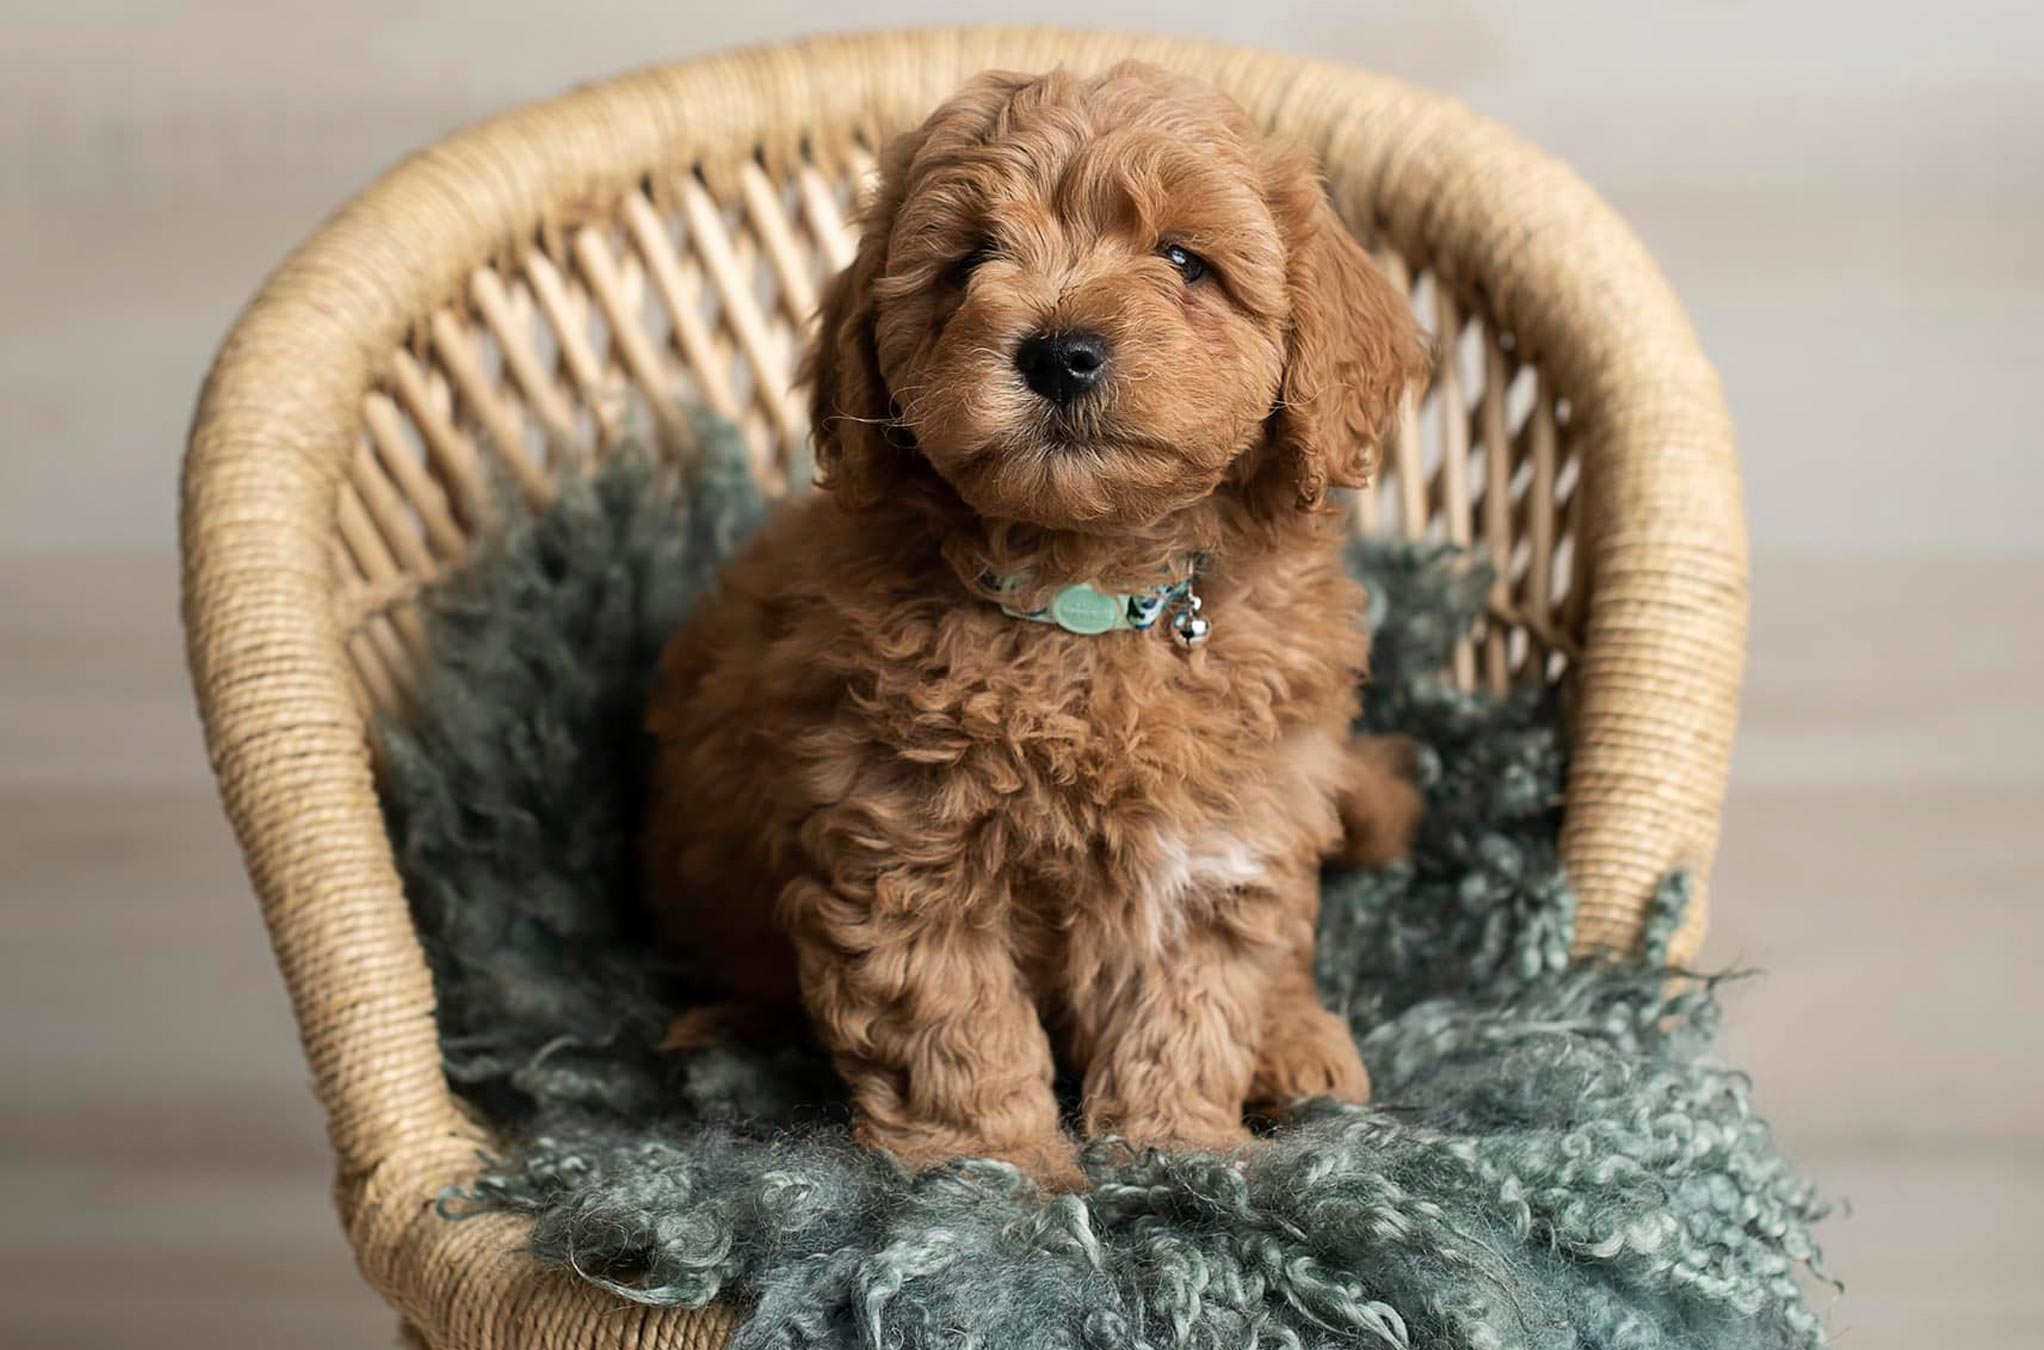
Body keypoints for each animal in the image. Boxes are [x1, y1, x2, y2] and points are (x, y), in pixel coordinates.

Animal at [645, 63, 1430, 1178]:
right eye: (971, 260)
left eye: (1183, 260)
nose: (1060, 353)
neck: (1087, 599)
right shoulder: (903, 860)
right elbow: (954, 1032)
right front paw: (998, 1180)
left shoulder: (1211, 846)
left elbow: (1184, 1011)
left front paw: (1178, 1154)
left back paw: (1298, 1043)